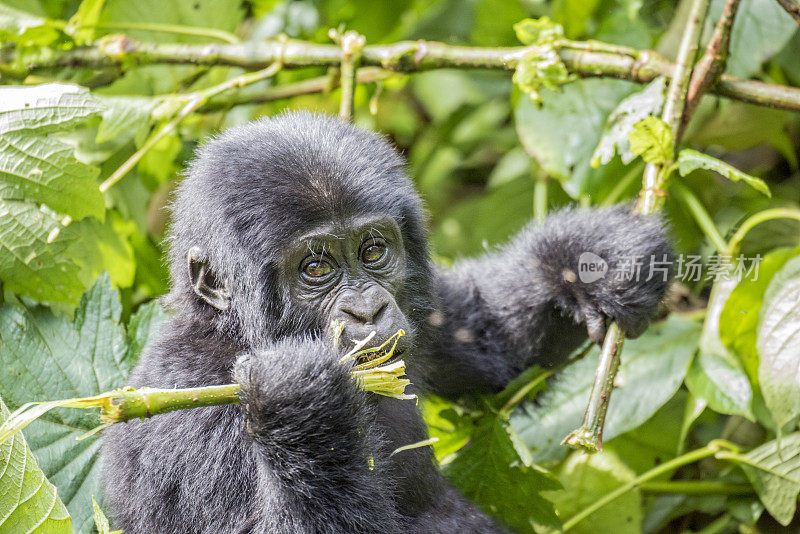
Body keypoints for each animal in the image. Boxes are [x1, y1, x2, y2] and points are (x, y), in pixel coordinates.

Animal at [101, 111, 676, 532]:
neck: (231, 333)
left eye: (373, 250)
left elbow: (488, 340)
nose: (368, 310)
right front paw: (299, 401)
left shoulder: (424, 316)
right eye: (316, 268)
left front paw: (591, 259)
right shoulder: (189, 417)